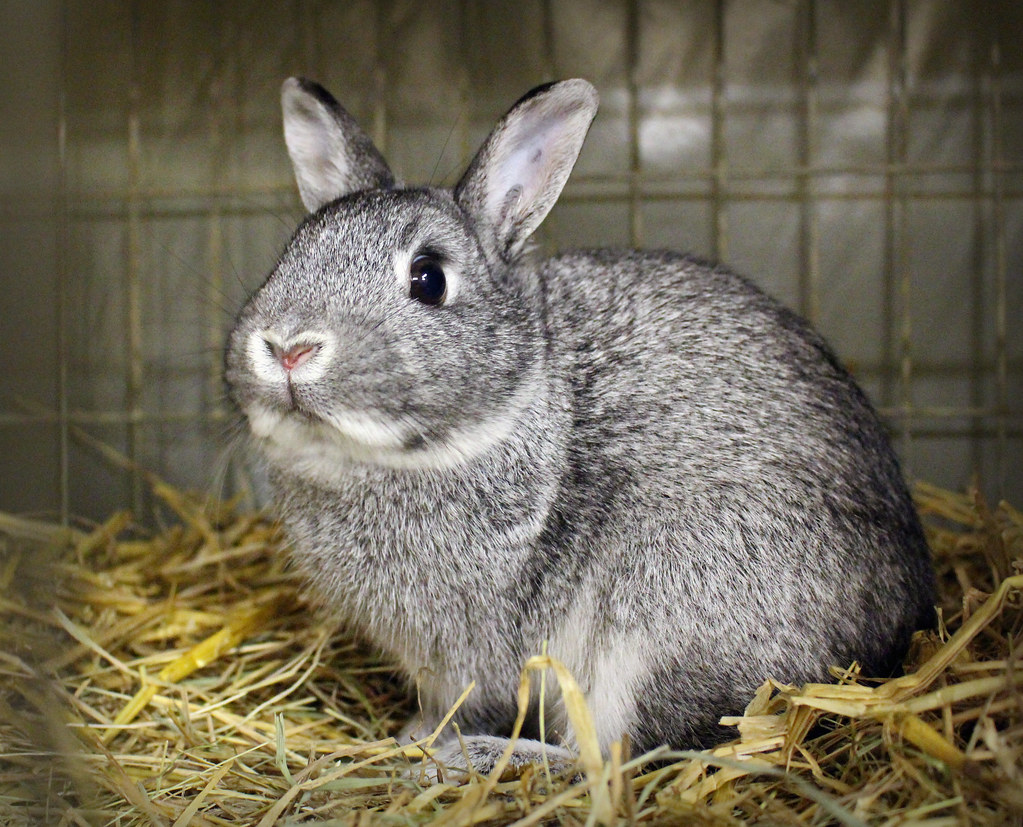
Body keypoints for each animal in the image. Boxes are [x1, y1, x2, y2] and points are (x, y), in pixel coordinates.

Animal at [224, 74, 937, 777]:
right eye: (289, 254)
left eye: (429, 279)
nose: (288, 347)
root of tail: (894, 637)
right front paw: (411, 734)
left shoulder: (474, 653)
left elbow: (474, 703)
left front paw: (422, 741)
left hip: (662, 618)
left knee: (618, 757)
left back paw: (476, 760)